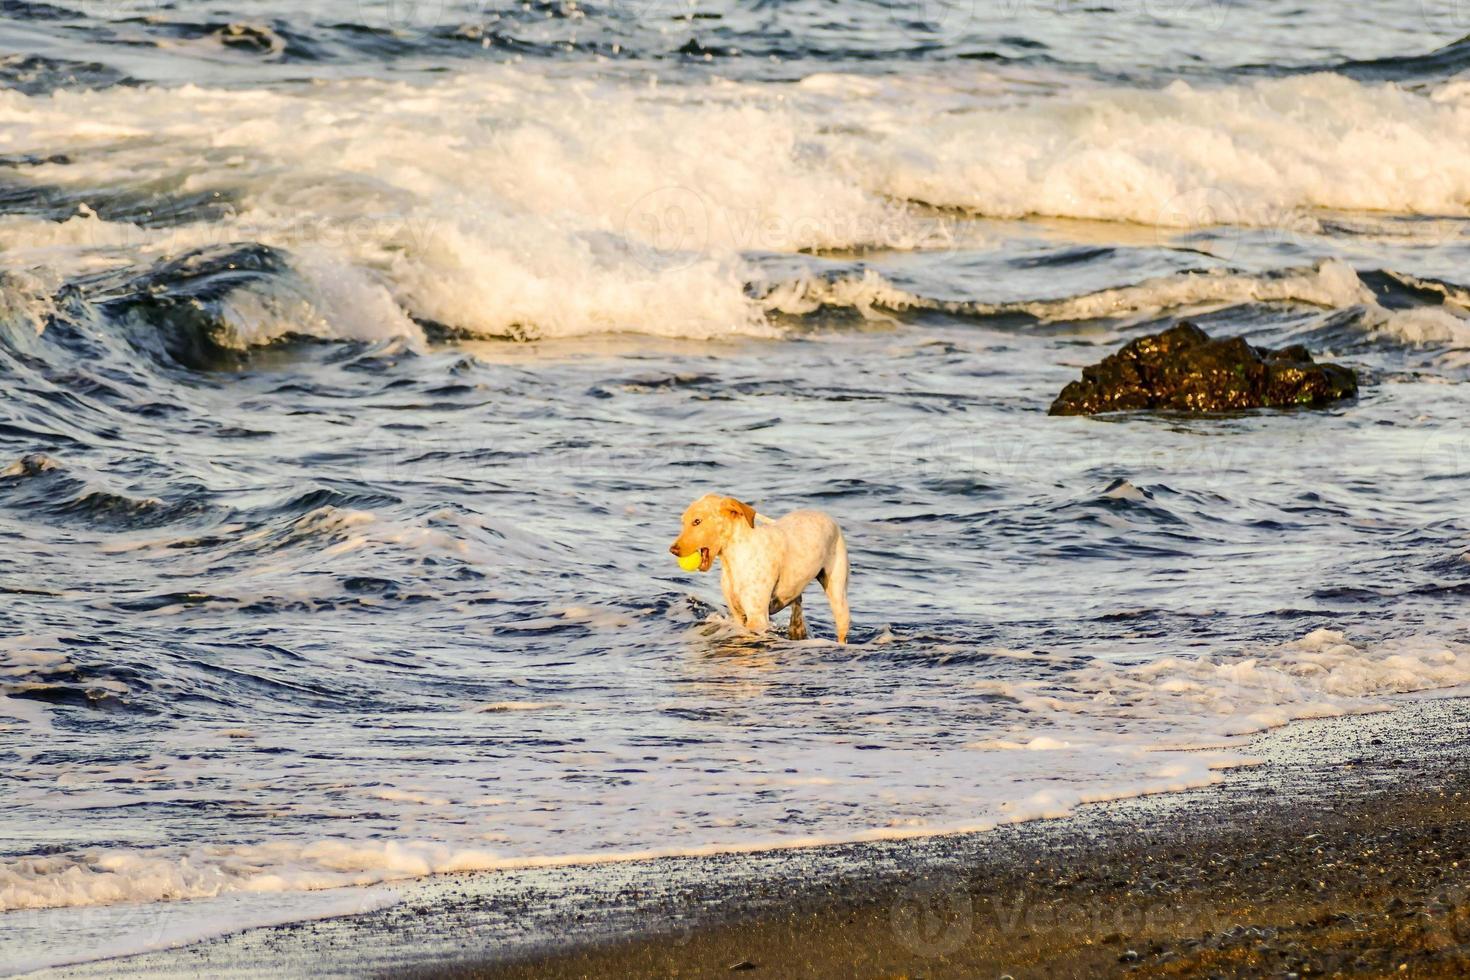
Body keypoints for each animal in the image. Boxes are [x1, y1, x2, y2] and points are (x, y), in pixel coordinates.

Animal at [670, 493, 852, 646]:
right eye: (683, 522)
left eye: (697, 521)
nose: (673, 549)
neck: (734, 559)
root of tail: (826, 516)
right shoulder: (738, 615)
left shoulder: (757, 618)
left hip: (838, 596)